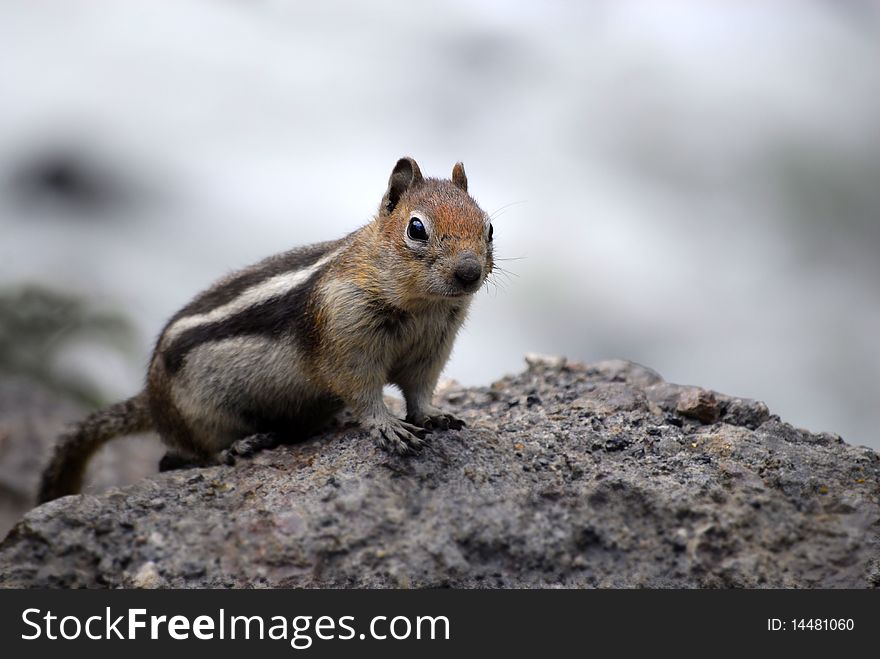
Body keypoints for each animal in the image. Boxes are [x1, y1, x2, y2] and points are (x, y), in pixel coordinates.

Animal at [39, 157, 496, 502]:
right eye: (416, 228)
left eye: (489, 227)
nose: (469, 273)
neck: (422, 307)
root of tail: (150, 399)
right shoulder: (345, 341)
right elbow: (362, 391)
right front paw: (386, 425)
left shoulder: (432, 349)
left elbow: (420, 389)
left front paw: (434, 415)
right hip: (198, 414)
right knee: (186, 454)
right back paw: (238, 446)